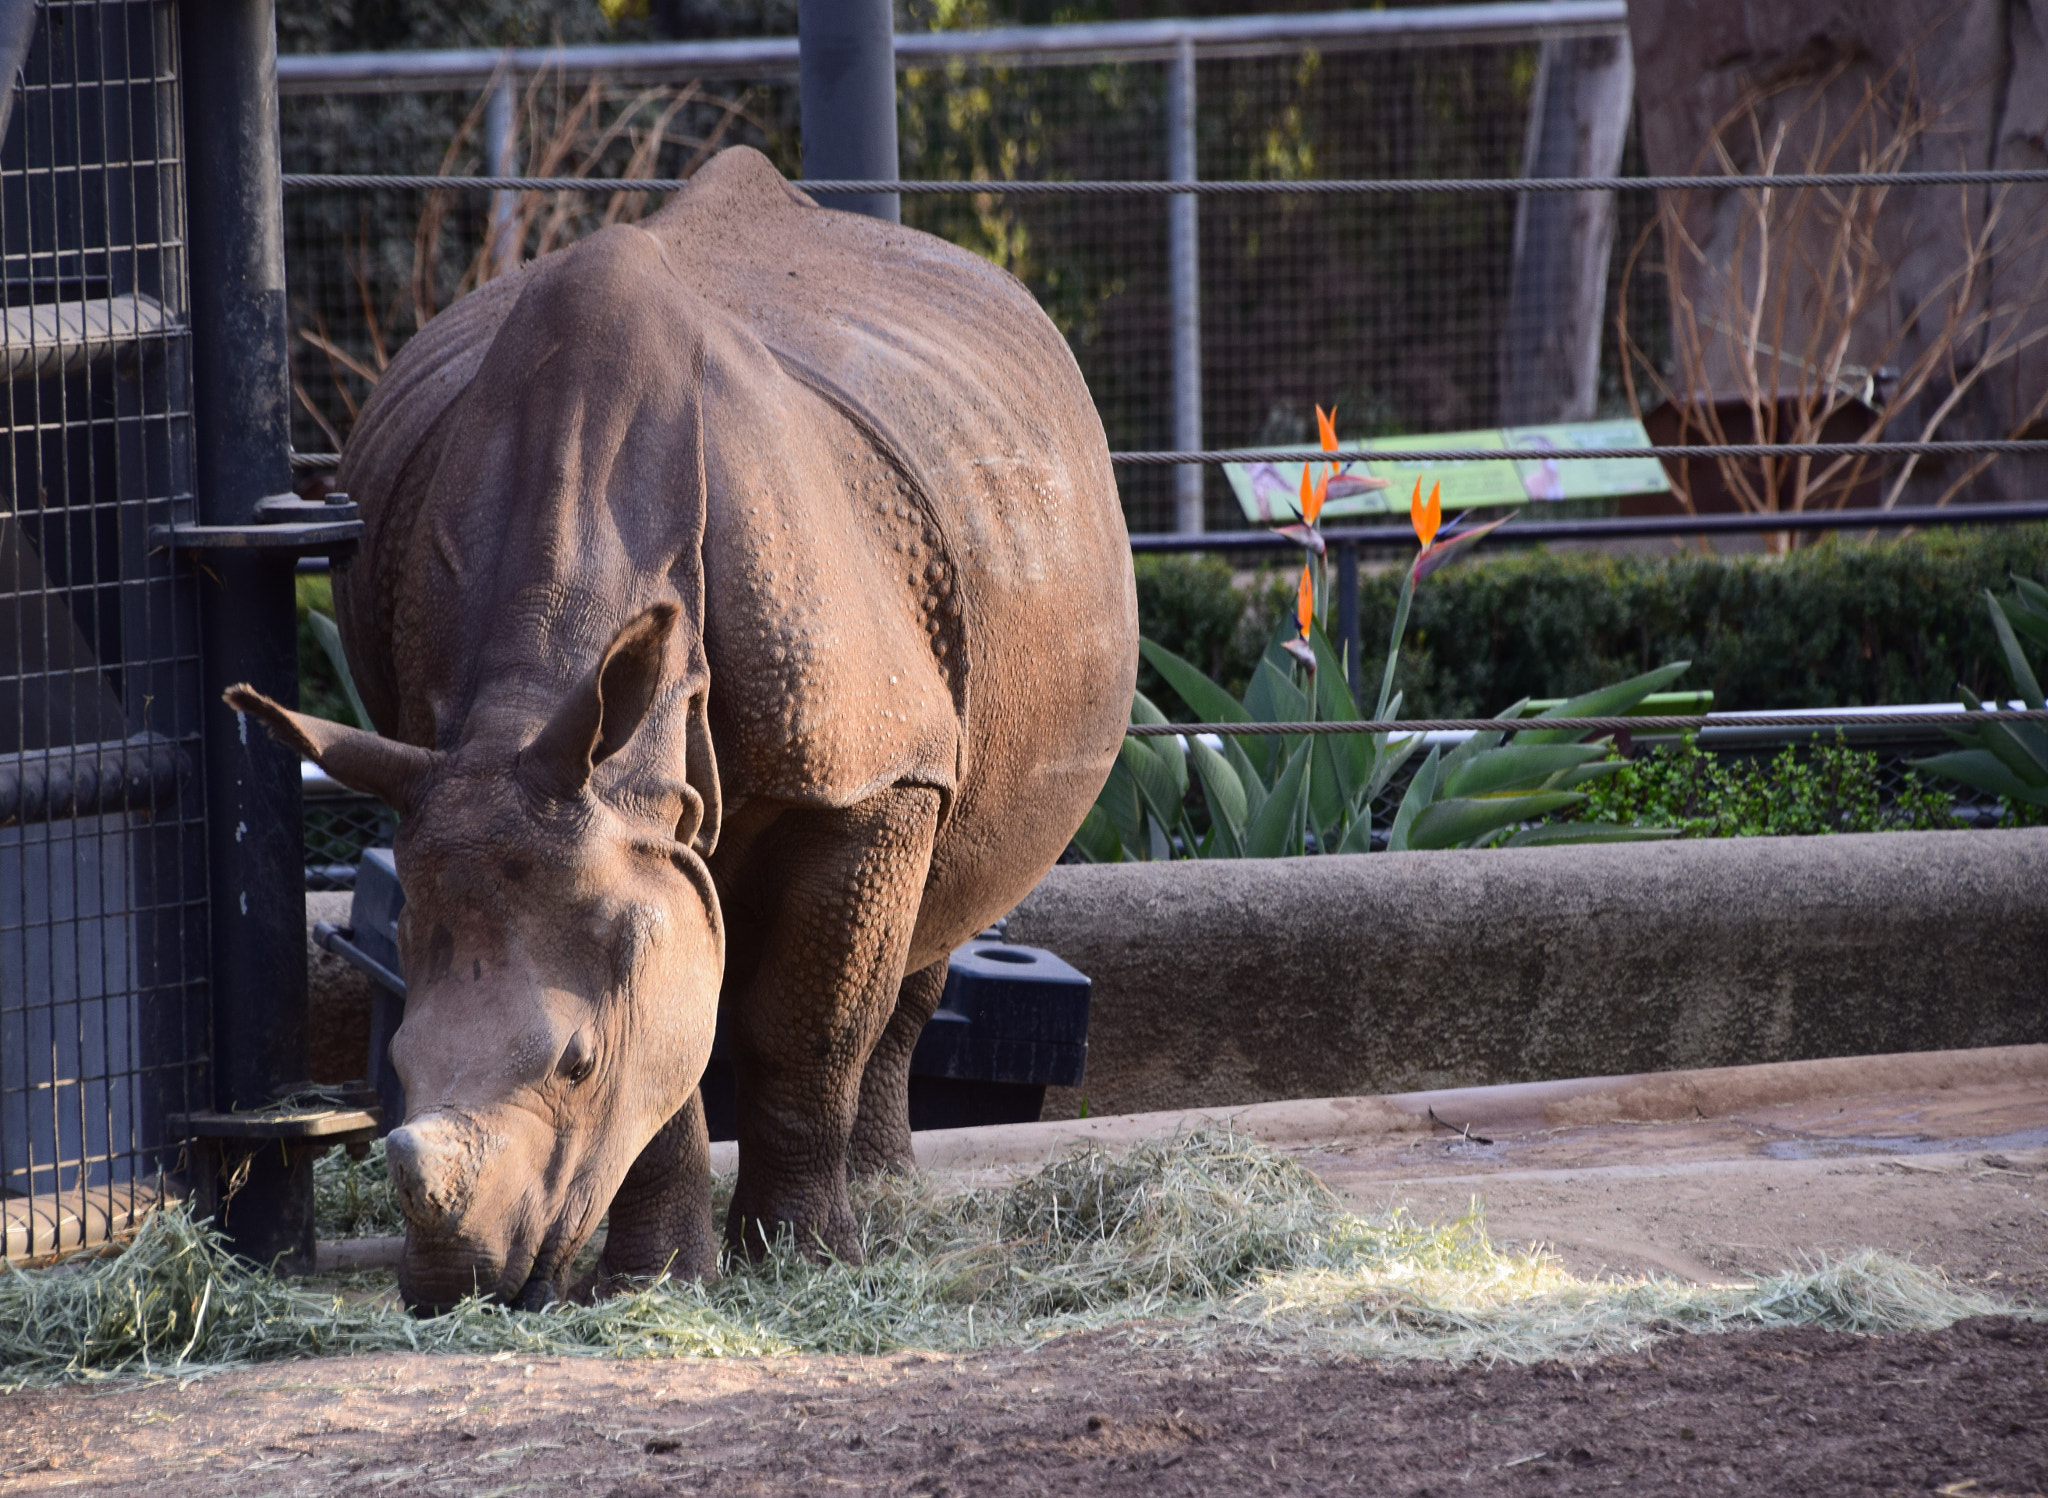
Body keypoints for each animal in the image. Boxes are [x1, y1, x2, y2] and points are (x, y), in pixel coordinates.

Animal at [231, 147, 1135, 1313]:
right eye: (399, 1068)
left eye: (573, 1062)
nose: (455, 1284)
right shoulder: (588, 814)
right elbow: (670, 1028)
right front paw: (652, 1283)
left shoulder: (862, 773)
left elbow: (803, 1025)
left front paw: (803, 1261)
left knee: (944, 891)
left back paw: (885, 1203)